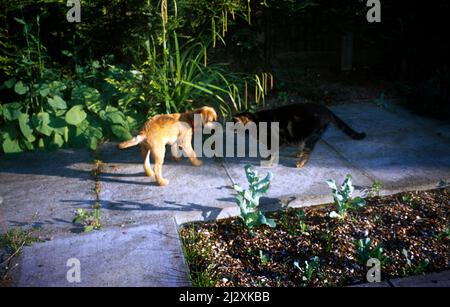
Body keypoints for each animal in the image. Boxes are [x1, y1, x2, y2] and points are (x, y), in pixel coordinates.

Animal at [234, 103, 368, 168]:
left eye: (233, 123)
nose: (229, 127)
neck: (256, 122)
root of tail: (326, 110)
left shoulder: (276, 140)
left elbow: (273, 153)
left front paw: (269, 162)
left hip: (312, 135)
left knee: (307, 152)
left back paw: (301, 162)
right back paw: (298, 153)